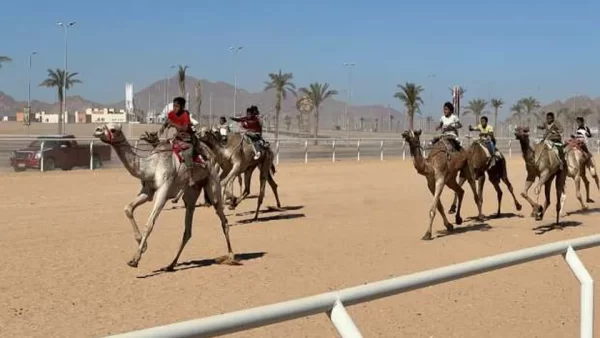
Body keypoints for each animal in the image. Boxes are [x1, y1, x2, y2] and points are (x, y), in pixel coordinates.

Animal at [92, 123, 238, 270]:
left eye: (113, 129)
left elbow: (149, 224)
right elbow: (128, 208)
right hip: (192, 192)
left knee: (223, 218)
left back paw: (231, 257)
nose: (97, 130)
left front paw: (135, 259)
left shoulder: (164, 190)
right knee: (188, 229)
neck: (151, 166)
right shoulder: (148, 191)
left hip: (213, 184)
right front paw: (142, 245)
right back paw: (171, 264)